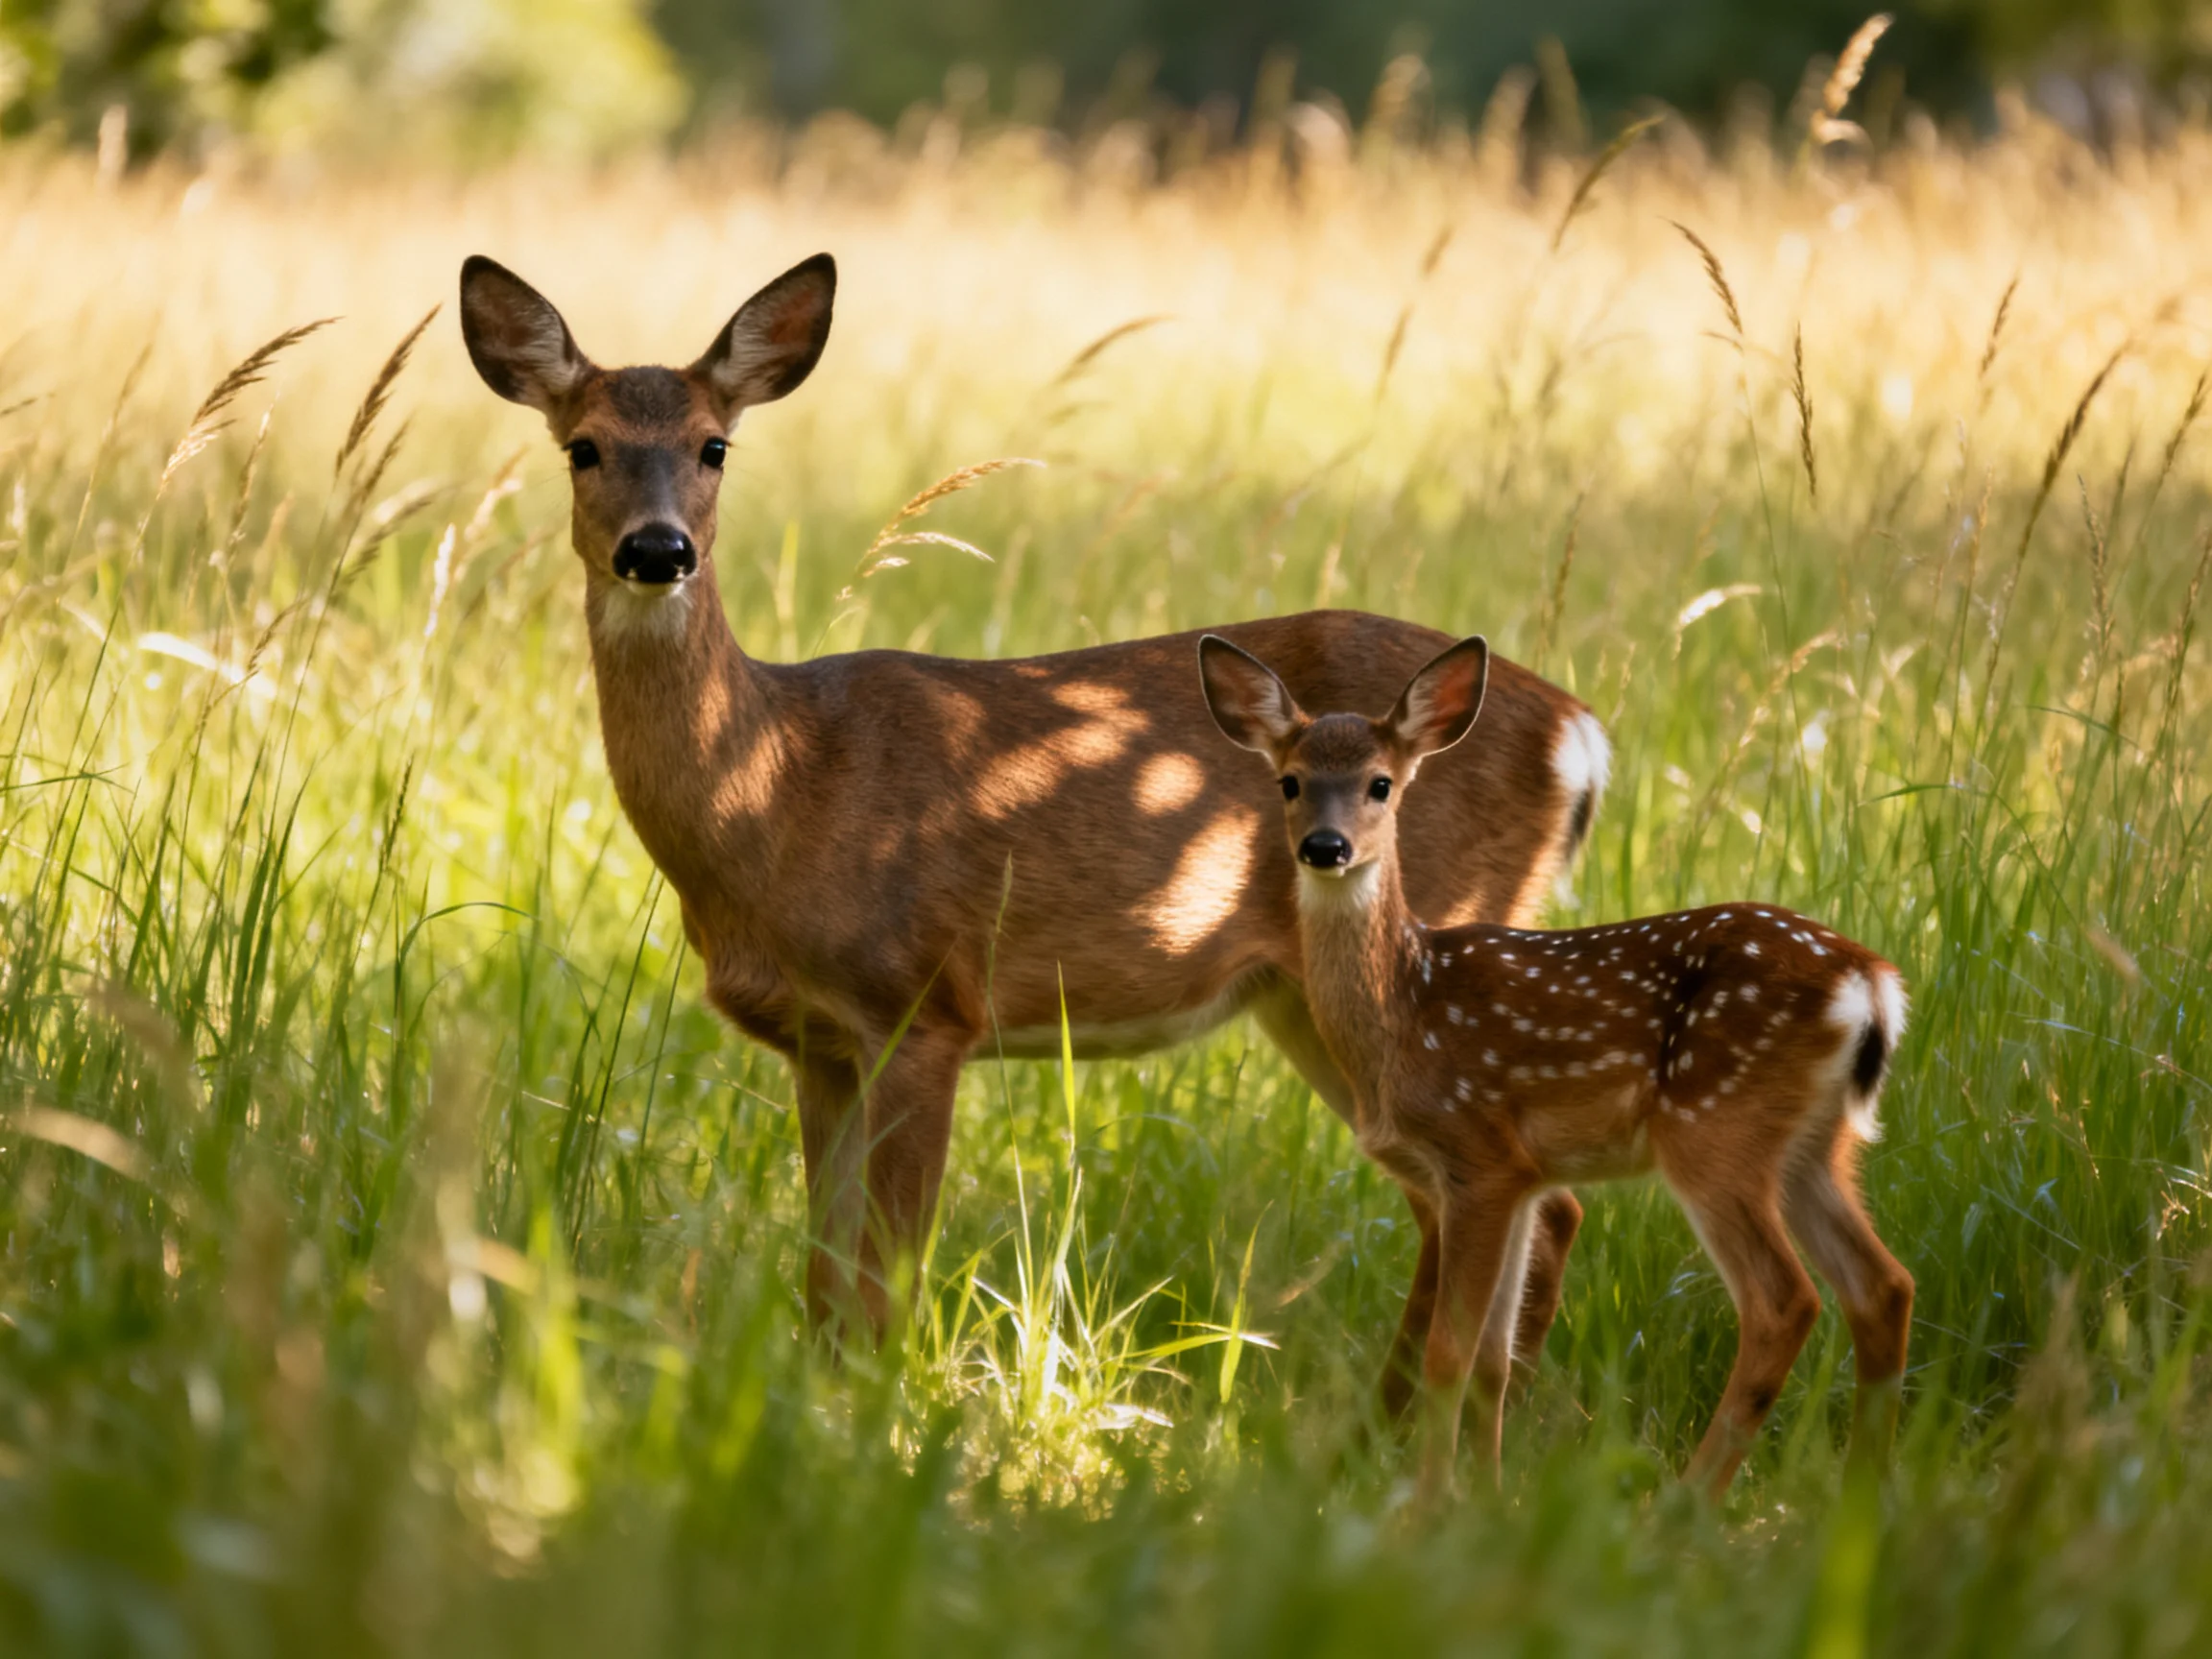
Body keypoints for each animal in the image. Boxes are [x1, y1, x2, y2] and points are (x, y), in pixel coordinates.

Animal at [456, 252, 1614, 1405]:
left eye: (714, 445)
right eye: (582, 447)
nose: (659, 550)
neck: (779, 790)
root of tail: (1582, 735)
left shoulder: (924, 1004)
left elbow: (887, 1279)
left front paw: (881, 1418)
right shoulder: (817, 1040)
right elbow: (825, 1280)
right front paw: (821, 1407)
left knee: (1525, 1201)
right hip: (1307, 993)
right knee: (1493, 1203)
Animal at [1197, 632, 1914, 1500]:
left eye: (1380, 784)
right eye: (1290, 781)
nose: (1324, 847)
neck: (1408, 1007)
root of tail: (1870, 985)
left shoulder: (1480, 1156)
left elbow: (1450, 1355)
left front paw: (1426, 1503)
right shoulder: (1522, 1177)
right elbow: (1492, 1362)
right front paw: (1486, 1496)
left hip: (1715, 1131)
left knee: (1786, 1302)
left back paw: (1684, 1502)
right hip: (1814, 1144)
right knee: (1882, 1286)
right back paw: (1861, 1493)